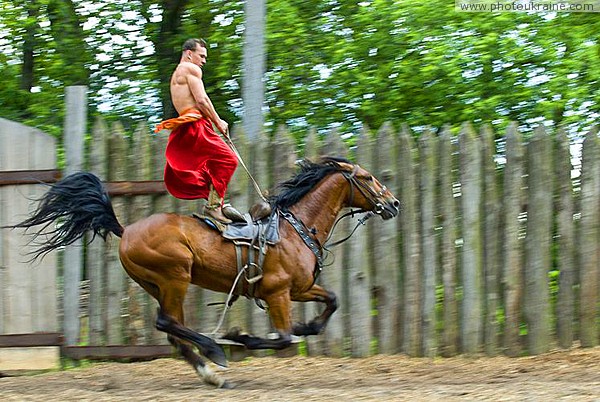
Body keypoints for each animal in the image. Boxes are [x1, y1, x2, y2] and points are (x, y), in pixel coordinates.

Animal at [8, 156, 398, 386]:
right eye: (367, 178)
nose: (393, 203)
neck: (293, 229)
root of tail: (126, 229)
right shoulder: (277, 293)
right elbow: (283, 337)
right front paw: (242, 337)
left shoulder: (300, 289)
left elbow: (331, 302)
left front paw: (307, 327)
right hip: (175, 277)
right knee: (167, 323)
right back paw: (215, 352)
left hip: (159, 285)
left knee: (172, 330)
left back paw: (209, 372)